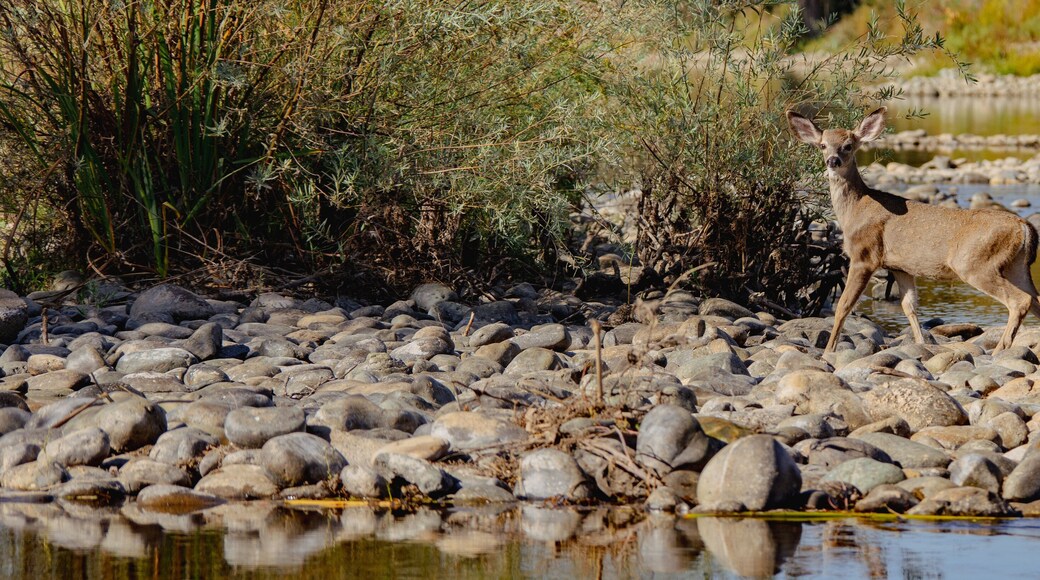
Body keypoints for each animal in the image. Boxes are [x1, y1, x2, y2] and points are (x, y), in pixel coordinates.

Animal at [786, 107, 1040, 354]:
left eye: (848, 145)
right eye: (822, 145)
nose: (833, 160)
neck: (855, 210)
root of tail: (1024, 226)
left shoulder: (864, 255)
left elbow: (844, 305)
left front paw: (828, 351)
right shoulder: (900, 267)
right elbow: (909, 306)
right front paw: (921, 344)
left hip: (975, 263)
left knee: (1020, 301)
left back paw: (999, 350)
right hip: (1016, 266)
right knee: (1036, 298)